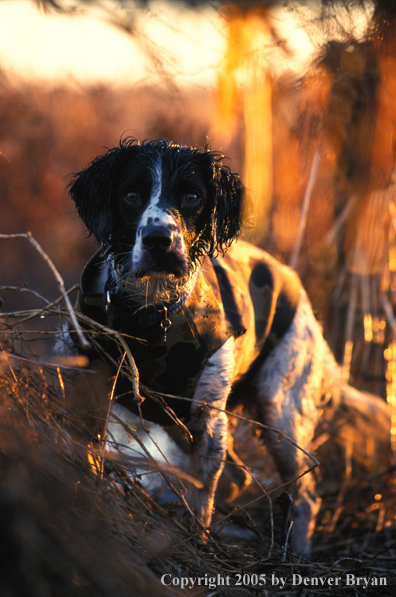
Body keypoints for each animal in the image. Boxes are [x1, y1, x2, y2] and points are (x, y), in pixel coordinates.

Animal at [63, 137, 392, 556]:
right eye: (131, 195)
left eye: (192, 196)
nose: (159, 241)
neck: (152, 314)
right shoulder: (91, 384)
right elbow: (86, 456)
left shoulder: (208, 417)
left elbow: (203, 495)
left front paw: (196, 543)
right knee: (240, 477)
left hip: (280, 411)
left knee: (304, 494)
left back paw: (296, 555)